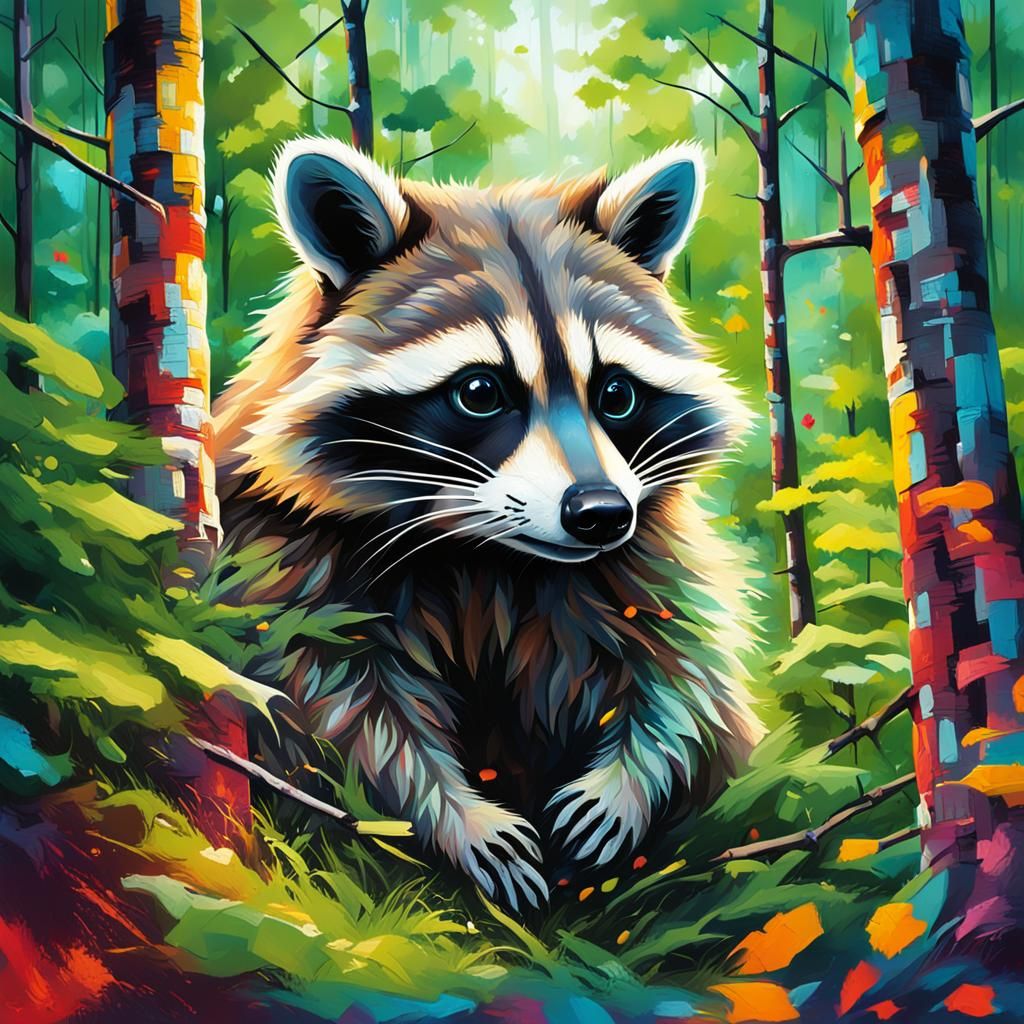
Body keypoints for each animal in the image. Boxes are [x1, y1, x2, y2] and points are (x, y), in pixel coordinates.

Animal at [215, 138, 764, 911]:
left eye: (616, 393)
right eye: (480, 391)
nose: (600, 514)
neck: (489, 555)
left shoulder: (650, 548)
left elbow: (686, 674)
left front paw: (631, 779)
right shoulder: (281, 559)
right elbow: (333, 710)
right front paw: (452, 815)